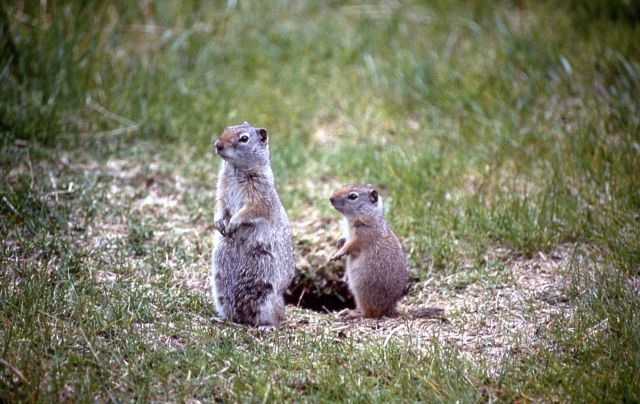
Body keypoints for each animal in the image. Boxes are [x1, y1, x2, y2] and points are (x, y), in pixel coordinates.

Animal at [210, 122, 295, 326]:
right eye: (225, 129)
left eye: (244, 138)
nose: (218, 145)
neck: (235, 169)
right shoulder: (221, 191)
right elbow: (220, 206)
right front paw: (219, 223)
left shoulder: (258, 197)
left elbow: (250, 210)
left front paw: (232, 224)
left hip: (267, 296)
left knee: (278, 318)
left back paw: (267, 327)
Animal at [329, 184, 444, 320]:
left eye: (353, 196)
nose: (330, 198)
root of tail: (390, 309)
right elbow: (345, 239)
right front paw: (338, 243)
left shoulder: (362, 237)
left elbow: (351, 246)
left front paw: (337, 254)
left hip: (362, 292)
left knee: (370, 314)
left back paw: (351, 313)